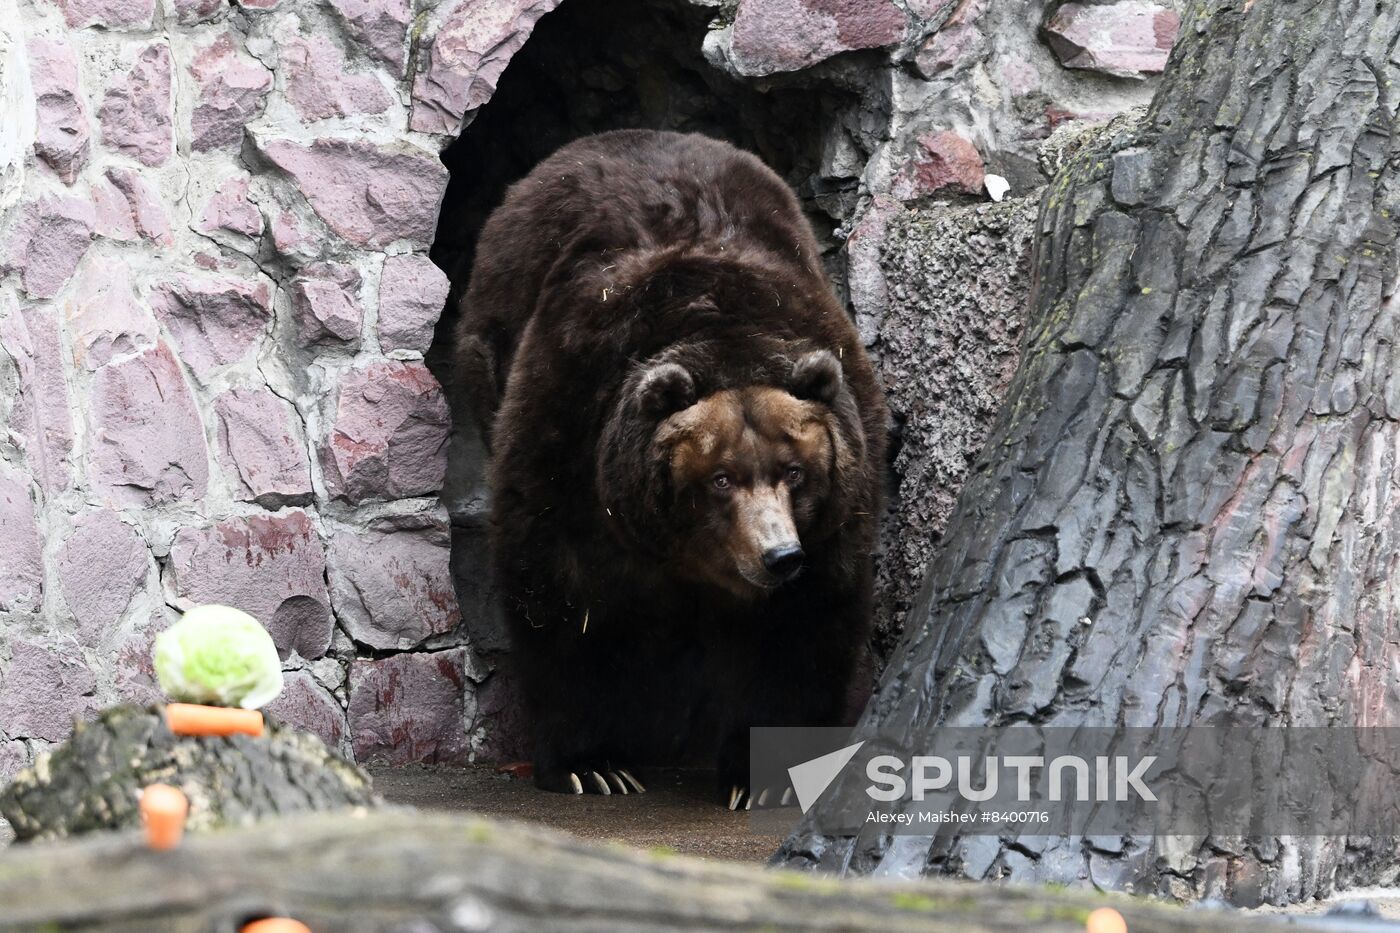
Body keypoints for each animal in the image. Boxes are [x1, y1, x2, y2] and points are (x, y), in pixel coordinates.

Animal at [453, 127, 884, 801]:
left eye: (794, 471)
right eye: (721, 478)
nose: (778, 555)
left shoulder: (838, 496)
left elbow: (804, 623)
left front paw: (762, 775)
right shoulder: (571, 432)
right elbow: (564, 598)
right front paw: (593, 764)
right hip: (492, 349)